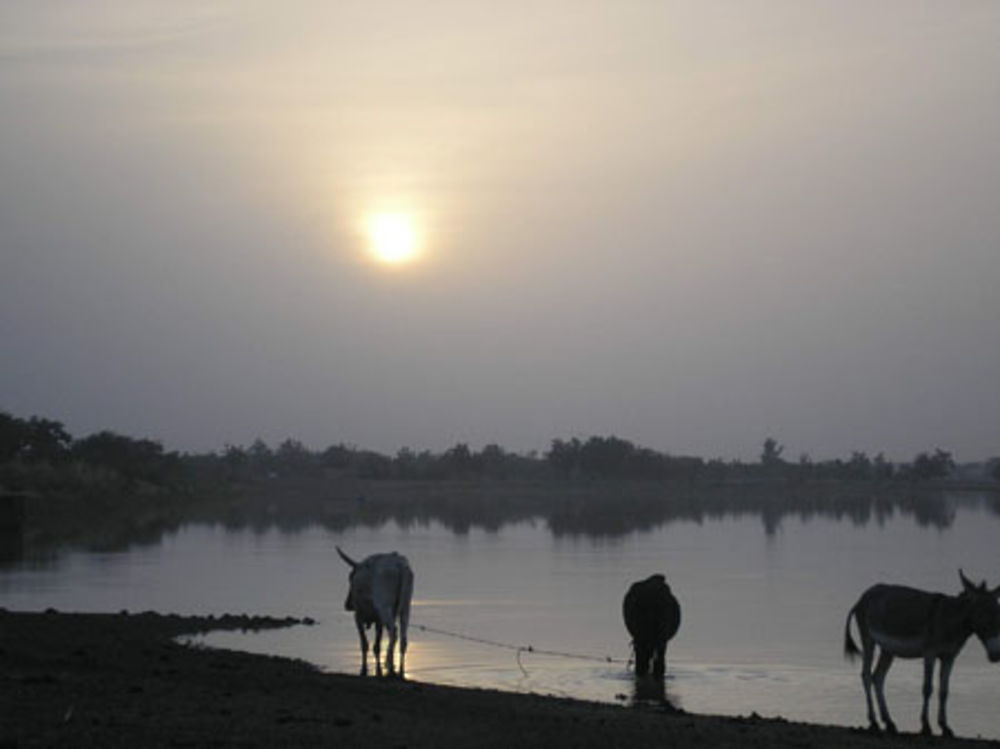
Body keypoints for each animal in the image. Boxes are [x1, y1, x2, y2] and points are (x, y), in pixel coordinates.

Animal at [338, 548, 412, 676]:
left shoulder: (358, 617)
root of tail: (399, 565)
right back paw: (400, 669)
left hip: (384, 607)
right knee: (403, 637)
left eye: (350, 578)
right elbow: (376, 646)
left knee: (393, 632)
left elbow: (364, 644)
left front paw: (363, 669)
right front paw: (378, 670)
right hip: (405, 607)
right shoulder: (378, 621)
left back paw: (389, 665)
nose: (347, 605)